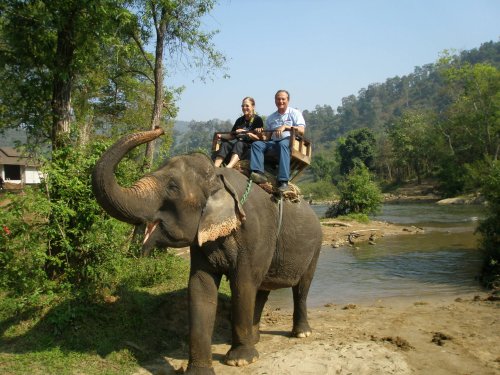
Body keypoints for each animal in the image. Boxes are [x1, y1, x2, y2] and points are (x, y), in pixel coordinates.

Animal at [91, 128, 322, 374]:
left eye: (172, 188)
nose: (159, 129)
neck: (219, 178)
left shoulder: (253, 230)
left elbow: (243, 283)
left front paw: (239, 360)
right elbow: (200, 287)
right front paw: (200, 370)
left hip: (315, 247)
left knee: (301, 287)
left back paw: (300, 333)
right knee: (262, 290)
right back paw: (256, 339)